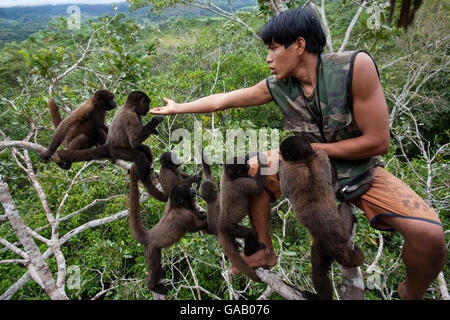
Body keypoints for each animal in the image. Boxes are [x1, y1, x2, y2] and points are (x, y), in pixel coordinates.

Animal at [128, 165, 207, 296]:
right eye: (188, 191)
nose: (193, 190)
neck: (177, 206)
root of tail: (149, 235)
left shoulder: (172, 201)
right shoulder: (182, 216)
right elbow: (194, 227)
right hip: (151, 251)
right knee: (155, 269)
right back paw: (152, 287)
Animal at [218, 152, 268, 280]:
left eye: (245, 165)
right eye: (244, 168)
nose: (249, 166)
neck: (229, 177)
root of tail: (221, 225)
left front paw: (254, 154)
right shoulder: (241, 183)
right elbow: (257, 189)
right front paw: (262, 161)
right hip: (232, 228)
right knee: (250, 233)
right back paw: (249, 252)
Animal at [278, 135, 366, 300]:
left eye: (283, 153)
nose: (280, 155)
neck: (305, 157)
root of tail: (334, 237)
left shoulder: (286, 168)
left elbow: (285, 189)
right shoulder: (322, 155)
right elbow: (334, 184)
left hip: (322, 246)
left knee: (318, 272)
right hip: (343, 228)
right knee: (343, 207)